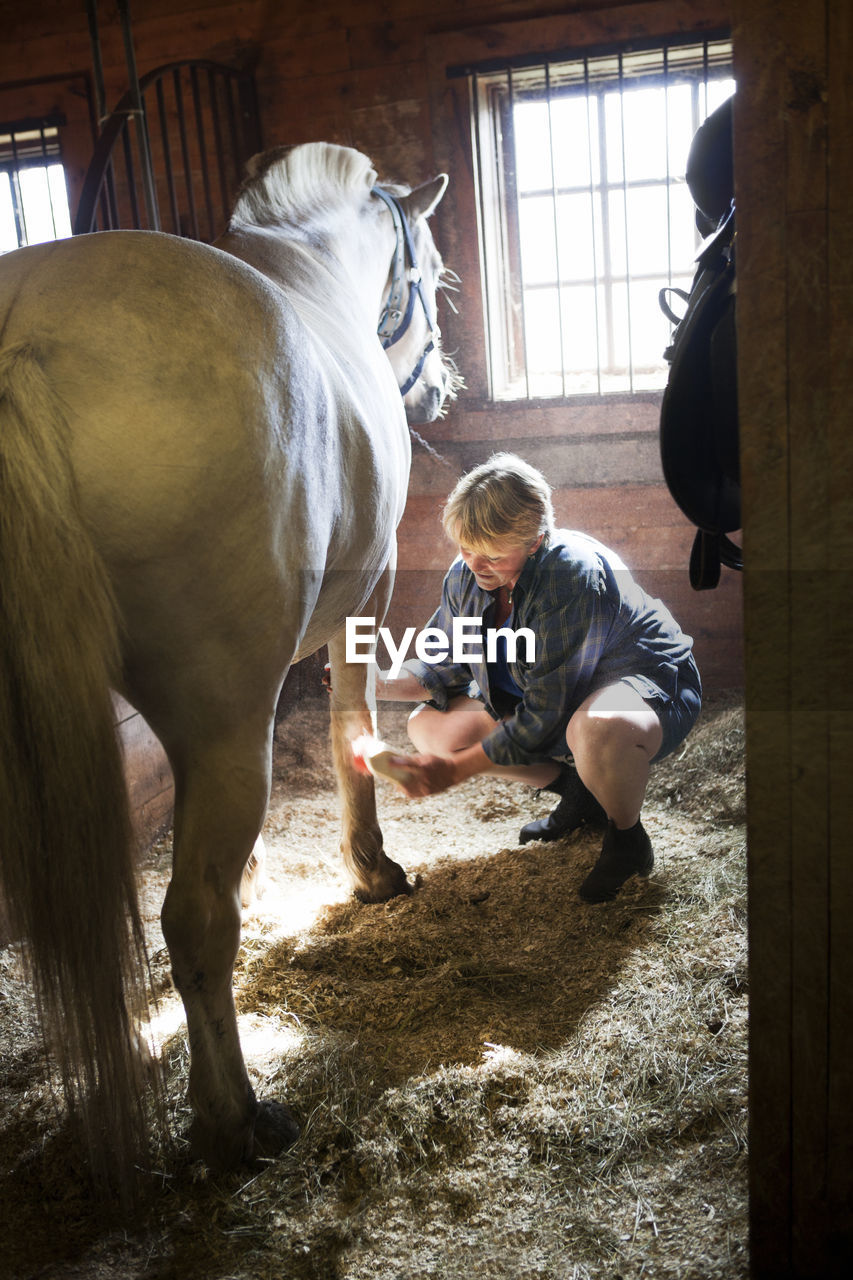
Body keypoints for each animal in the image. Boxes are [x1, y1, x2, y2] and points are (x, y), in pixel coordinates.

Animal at [0, 140, 450, 1187]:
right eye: (428, 277)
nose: (440, 385)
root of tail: (26, 341)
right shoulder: (361, 603)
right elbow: (350, 733)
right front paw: (372, 870)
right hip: (218, 713)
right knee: (191, 921)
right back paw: (232, 1118)